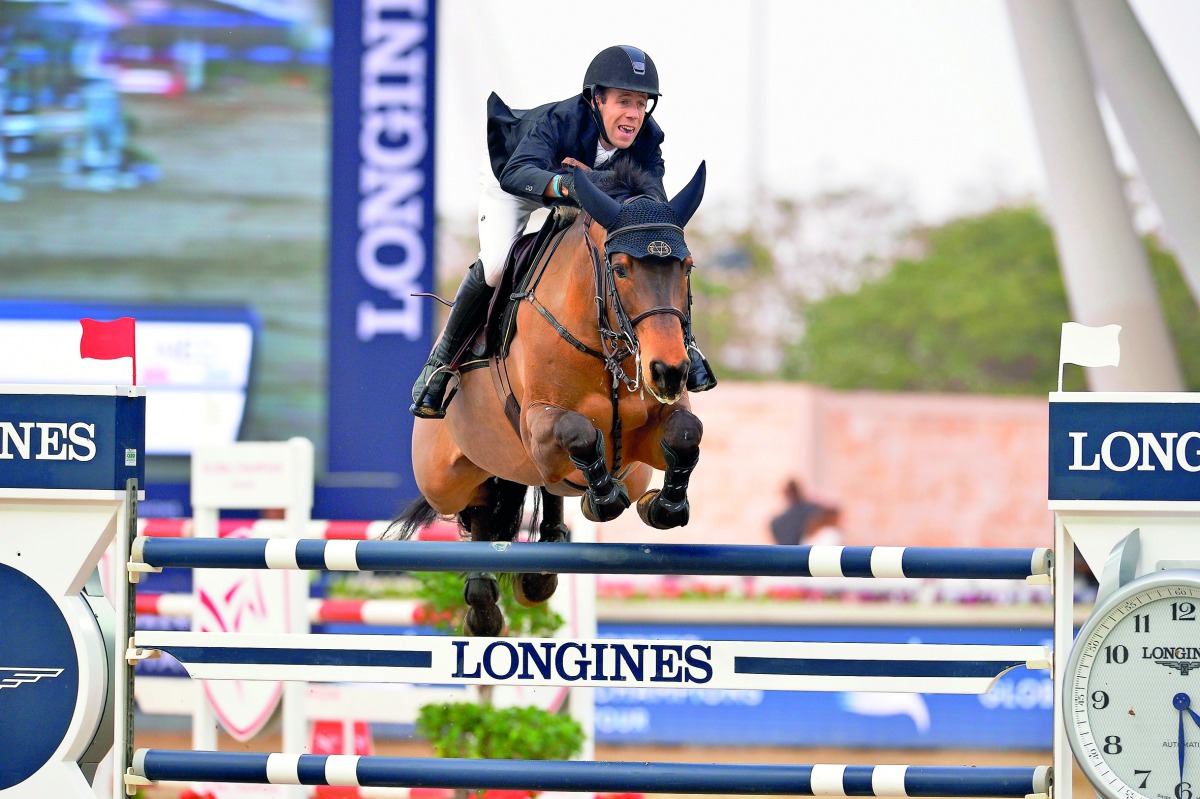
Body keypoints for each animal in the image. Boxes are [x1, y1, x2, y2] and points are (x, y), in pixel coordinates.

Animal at [388, 161, 705, 633]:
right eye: (621, 269)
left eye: (686, 266)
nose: (669, 372)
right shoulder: (538, 426)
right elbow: (579, 433)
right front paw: (605, 498)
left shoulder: (646, 438)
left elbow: (684, 432)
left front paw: (661, 506)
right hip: (443, 479)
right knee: (480, 507)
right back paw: (483, 603)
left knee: (540, 492)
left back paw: (541, 566)